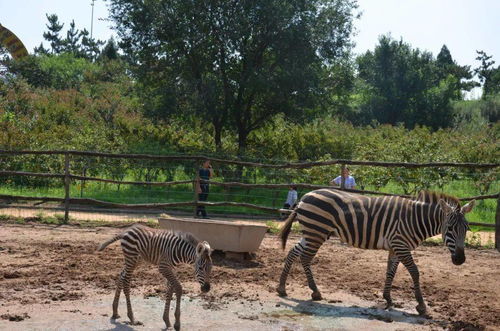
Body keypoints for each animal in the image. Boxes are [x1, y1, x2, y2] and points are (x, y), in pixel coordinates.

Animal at [276, 189, 474, 316]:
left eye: (467, 228)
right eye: (450, 228)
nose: (460, 260)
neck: (415, 219)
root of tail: (305, 196)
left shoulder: (396, 247)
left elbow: (390, 272)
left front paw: (388, 299)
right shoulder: (400, 245)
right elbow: (415, 272)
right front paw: (421, 305)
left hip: (313, 232)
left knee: (294, 251)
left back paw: (282, 288)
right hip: (316, 231)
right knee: (305, 257)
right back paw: (315, 291)